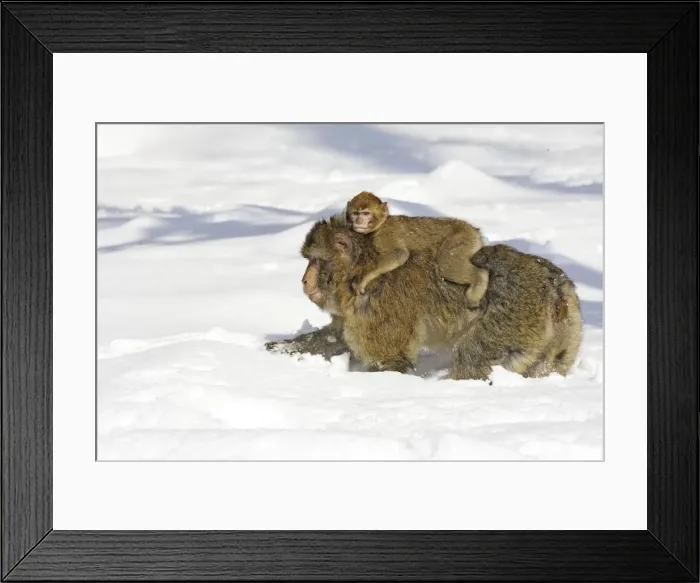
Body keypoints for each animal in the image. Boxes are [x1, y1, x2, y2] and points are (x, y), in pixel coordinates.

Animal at [345, 191, 490, 308]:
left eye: (366, 213)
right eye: (355, 214)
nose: (358, 221)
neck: (382, 224)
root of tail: (474, 230)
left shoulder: (385, 235)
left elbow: (399, 255)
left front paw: (361, 279)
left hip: (462, 239)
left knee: (446, 264)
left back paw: (478, 283)